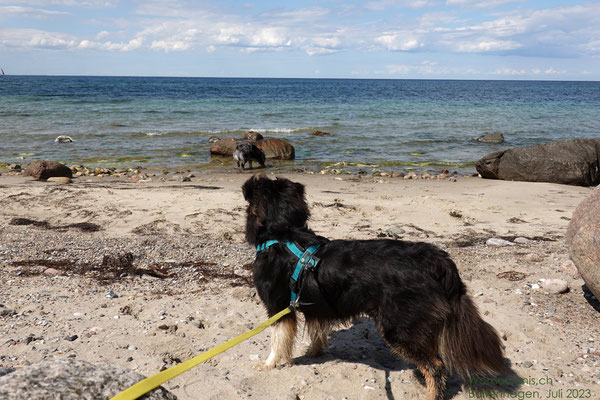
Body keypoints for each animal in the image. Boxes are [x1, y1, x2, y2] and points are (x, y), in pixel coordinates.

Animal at [243, 175, 506, 400]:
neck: (283, 233)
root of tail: (437, 260)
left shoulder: (277, 307)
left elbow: (277, 340)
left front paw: (268, 364)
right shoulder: (316, 304)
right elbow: (317, 331)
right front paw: (314, 353)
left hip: (399, 328)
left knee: (436, 367)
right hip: (421, 324)